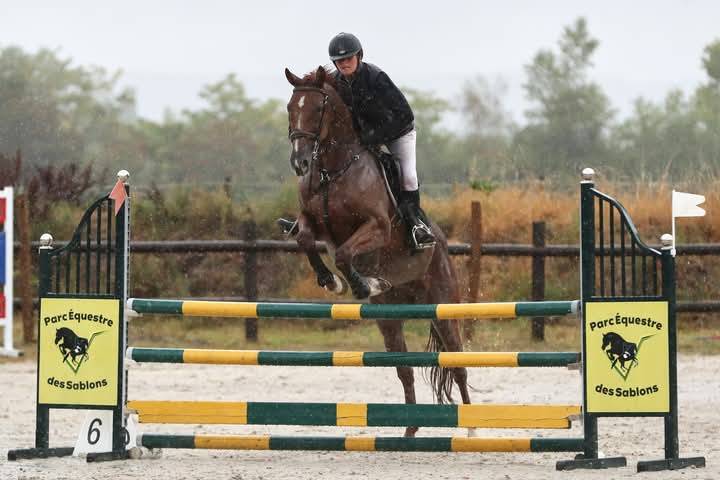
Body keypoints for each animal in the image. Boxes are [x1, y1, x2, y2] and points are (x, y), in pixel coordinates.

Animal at [284, 66, 471, 437]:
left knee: (457, 365)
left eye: (317, 108)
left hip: (443, 307)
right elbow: (306, 240)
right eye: (289, 108)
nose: (300, 163)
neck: (333, 169)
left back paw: (474, 429)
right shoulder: (314, 223)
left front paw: (362, 283)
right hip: (389, 319)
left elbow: (344, 254)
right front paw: (331, 280)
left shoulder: (377, 227)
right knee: (405, 370)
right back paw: (409, 431)